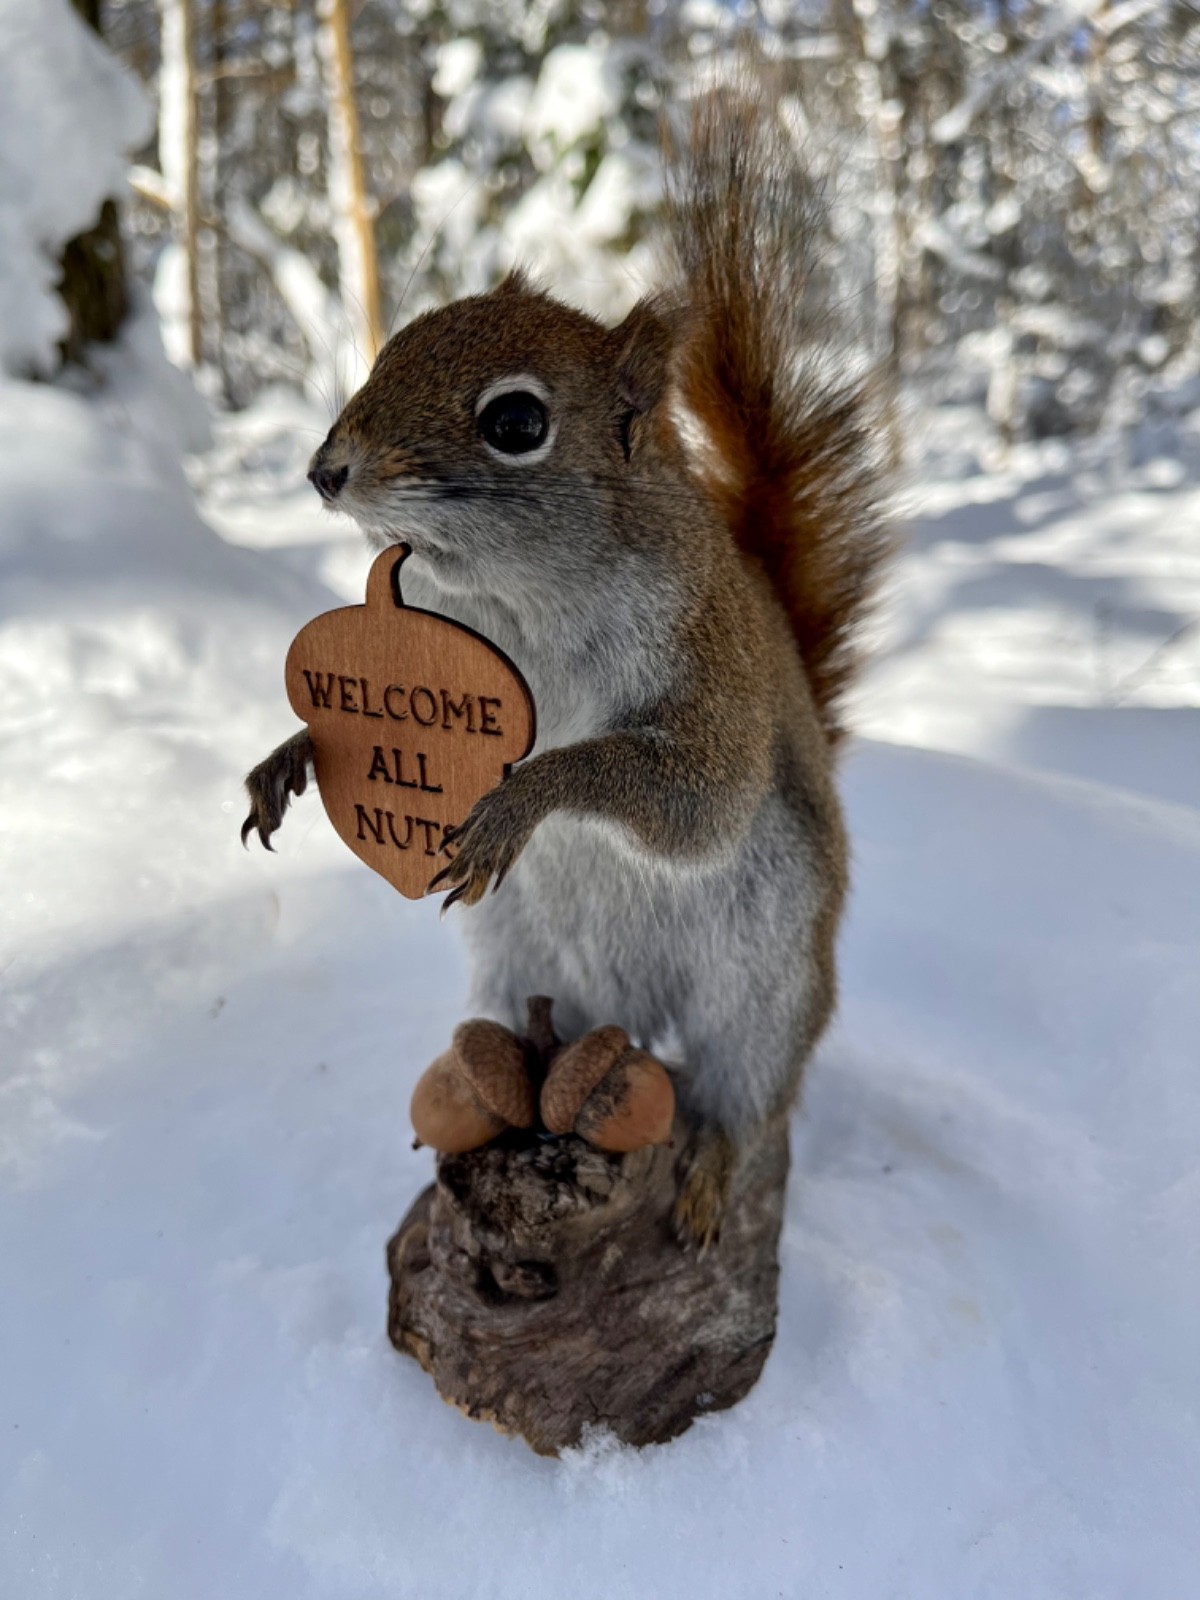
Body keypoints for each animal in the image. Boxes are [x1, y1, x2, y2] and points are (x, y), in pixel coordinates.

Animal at [243, 88, 890, 1248]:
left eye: (515, 420)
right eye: (389, 349)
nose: (325, 469)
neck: (516, 595)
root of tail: (635, 1013)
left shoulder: (710, 664)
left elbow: (696, 794)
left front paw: (521, 800)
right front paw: (292, 751)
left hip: (764, 994)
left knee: (748, 1101)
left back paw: (709, 1175)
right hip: (520, 966)